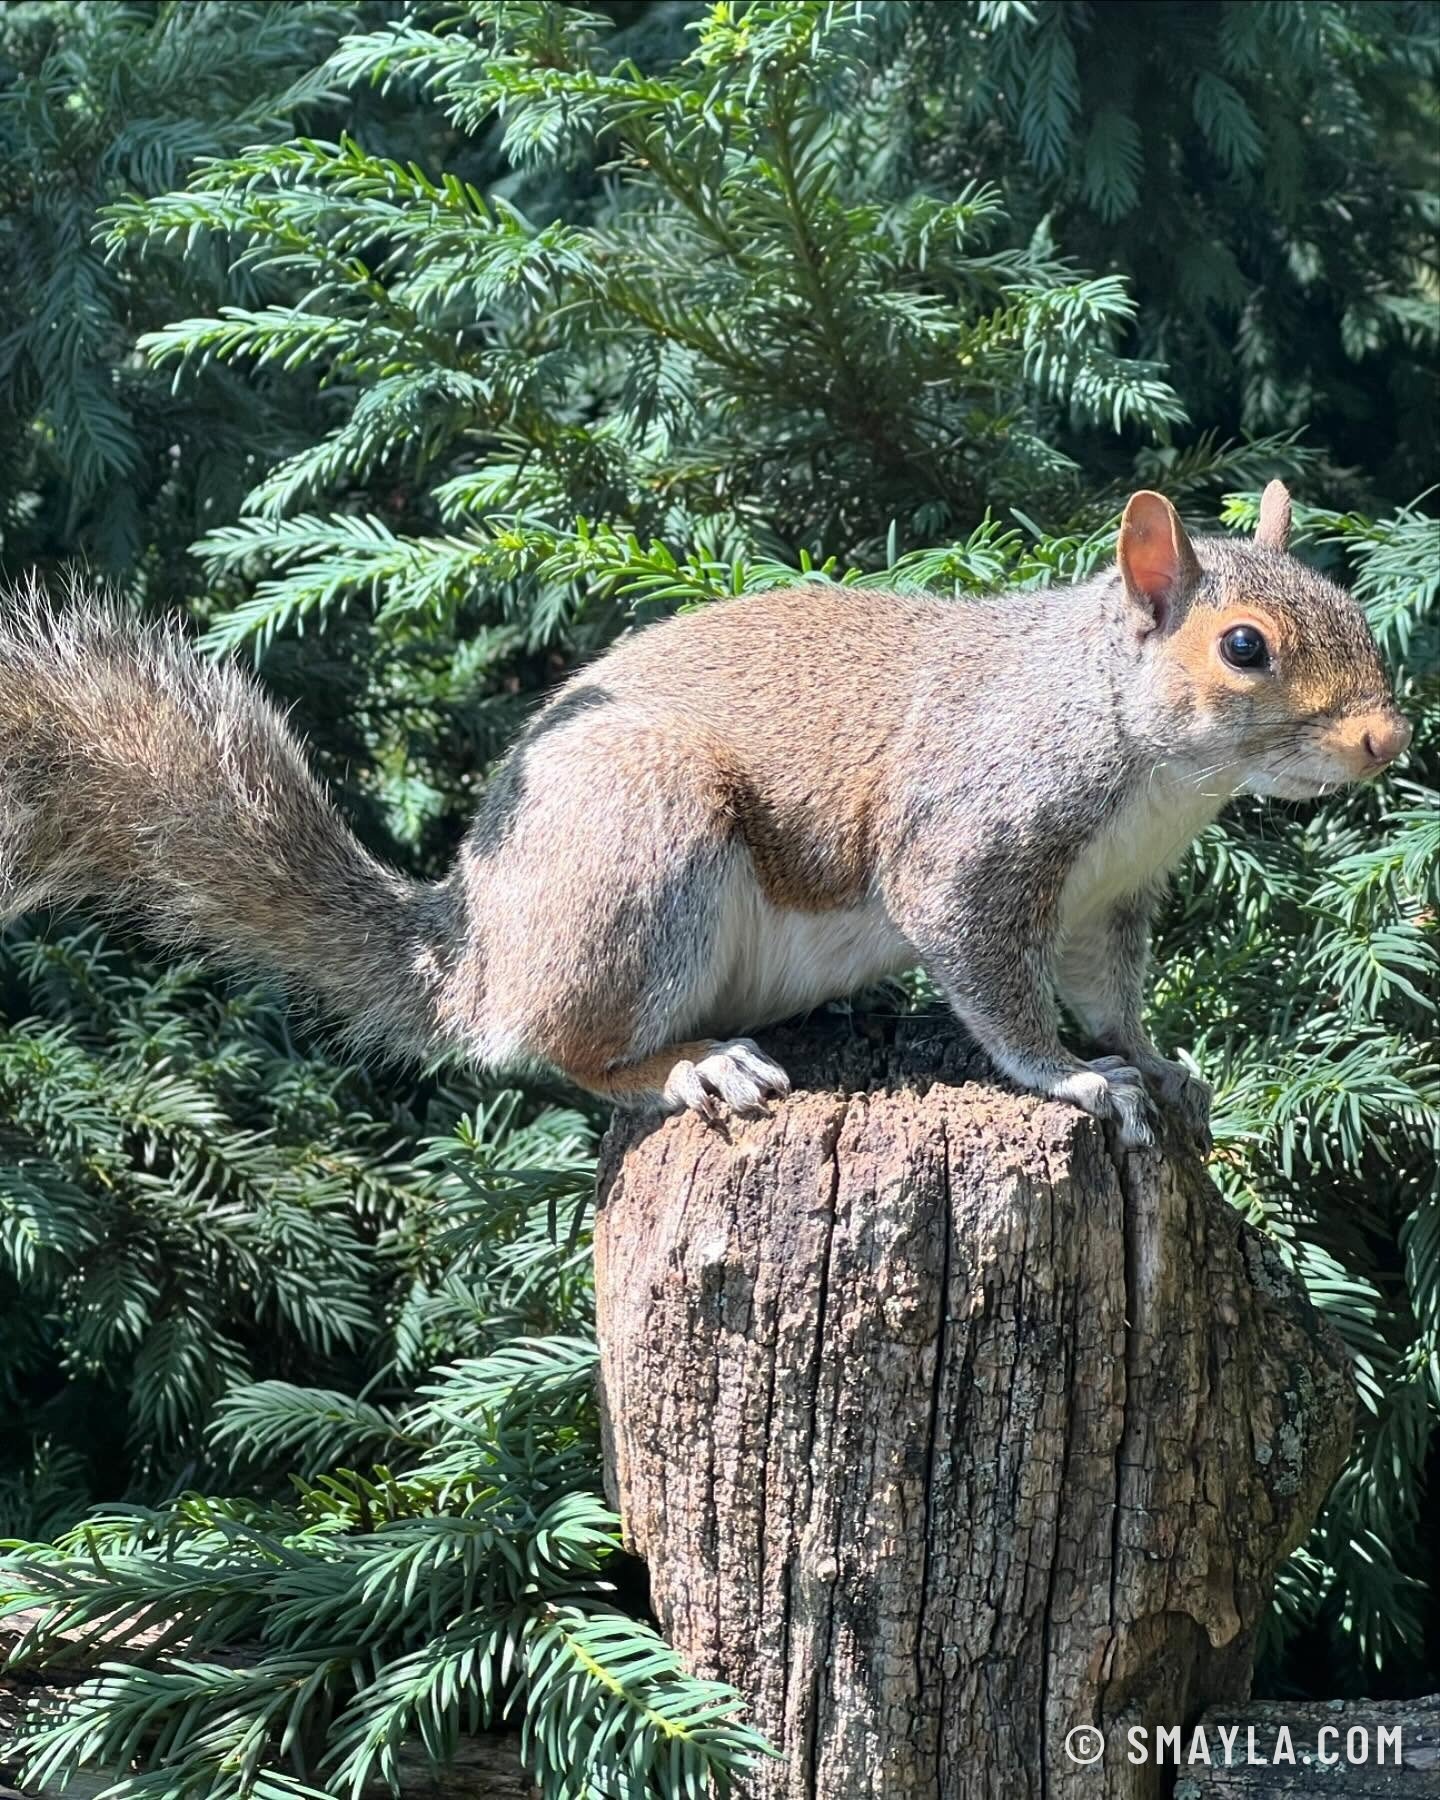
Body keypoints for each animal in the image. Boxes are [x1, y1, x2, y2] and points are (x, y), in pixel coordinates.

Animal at [0, 483, 1411, 1148]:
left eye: (1347, 603)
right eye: (1244, 646)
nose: (1387, 738)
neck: (1149, 763)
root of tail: (478, 947)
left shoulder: (1105, 898)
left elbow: (1108, 990)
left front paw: (1158, 1065)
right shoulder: (972, 840)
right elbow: (996, 985)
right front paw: (1069, 1079)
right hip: (641, 851)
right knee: (562, 1049)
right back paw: (689, 1067)